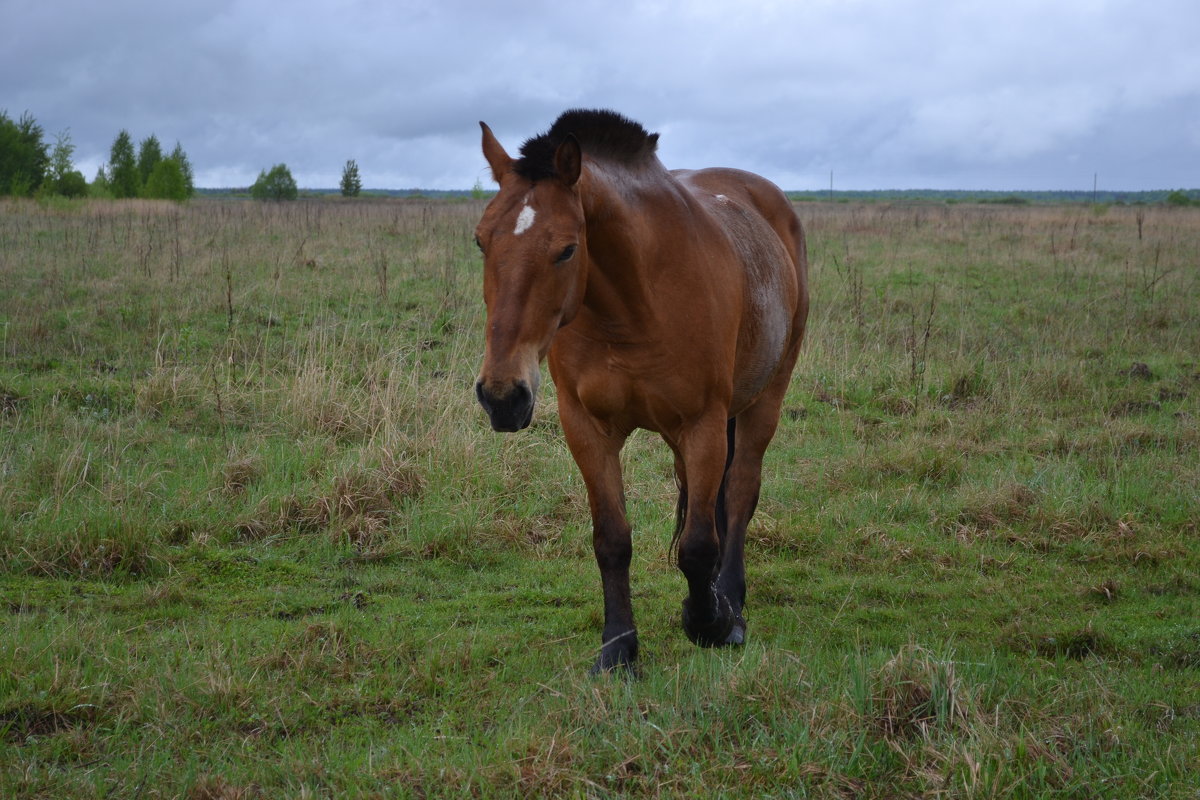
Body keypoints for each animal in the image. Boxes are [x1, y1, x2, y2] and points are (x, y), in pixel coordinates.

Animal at [472, 109, 811, 671]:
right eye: (480, 240)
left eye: (567, 249)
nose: (502, 395)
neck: (632, 305)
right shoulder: (587, 428)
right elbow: (612, 539)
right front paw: (617, 649)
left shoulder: (703, 425)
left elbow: (698, 544)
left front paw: (710, 623)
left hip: (764, 399)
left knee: (740, 491)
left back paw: (730, 599)